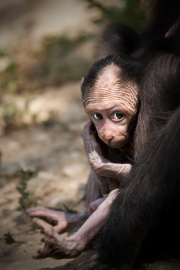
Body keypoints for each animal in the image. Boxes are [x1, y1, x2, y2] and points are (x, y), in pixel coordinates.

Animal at [31, 53, 142, 260]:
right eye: (97, 116)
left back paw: (69, 245)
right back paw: (78, 218)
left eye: (118, 115)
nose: (106, 134)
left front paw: (98, 160)